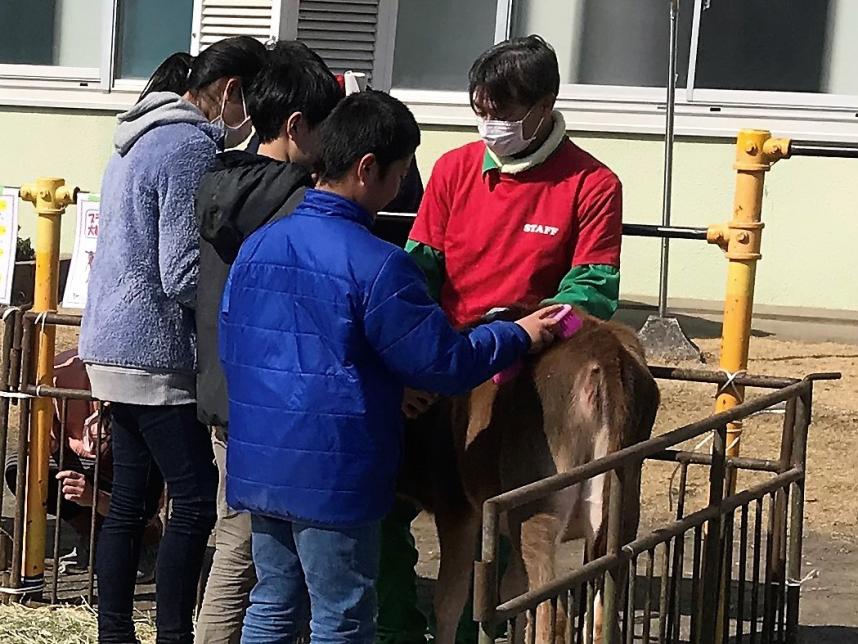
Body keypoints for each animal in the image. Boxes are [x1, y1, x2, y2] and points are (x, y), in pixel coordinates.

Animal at [398, 310, 660, 640]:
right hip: (621, 510)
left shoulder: (455, 506)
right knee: (598, 613)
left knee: (552, 613)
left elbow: (449, 600)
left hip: (536, 510)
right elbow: (512, 591)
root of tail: (606, 354)